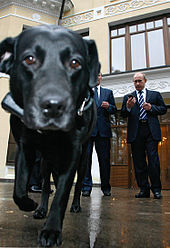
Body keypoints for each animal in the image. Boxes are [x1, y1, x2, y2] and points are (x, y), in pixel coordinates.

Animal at [0, 25, 99, 246]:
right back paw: (41, 208)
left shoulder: (72, 154)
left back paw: (76, 205)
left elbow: (61, 195)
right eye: (29, 59)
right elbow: (19, 189)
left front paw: (52, 230)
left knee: (77, 186)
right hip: (45, 163)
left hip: (83, 160)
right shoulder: (24, 147)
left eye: (75, 62)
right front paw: (29, 204)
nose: (53, 106)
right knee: (45, 186)